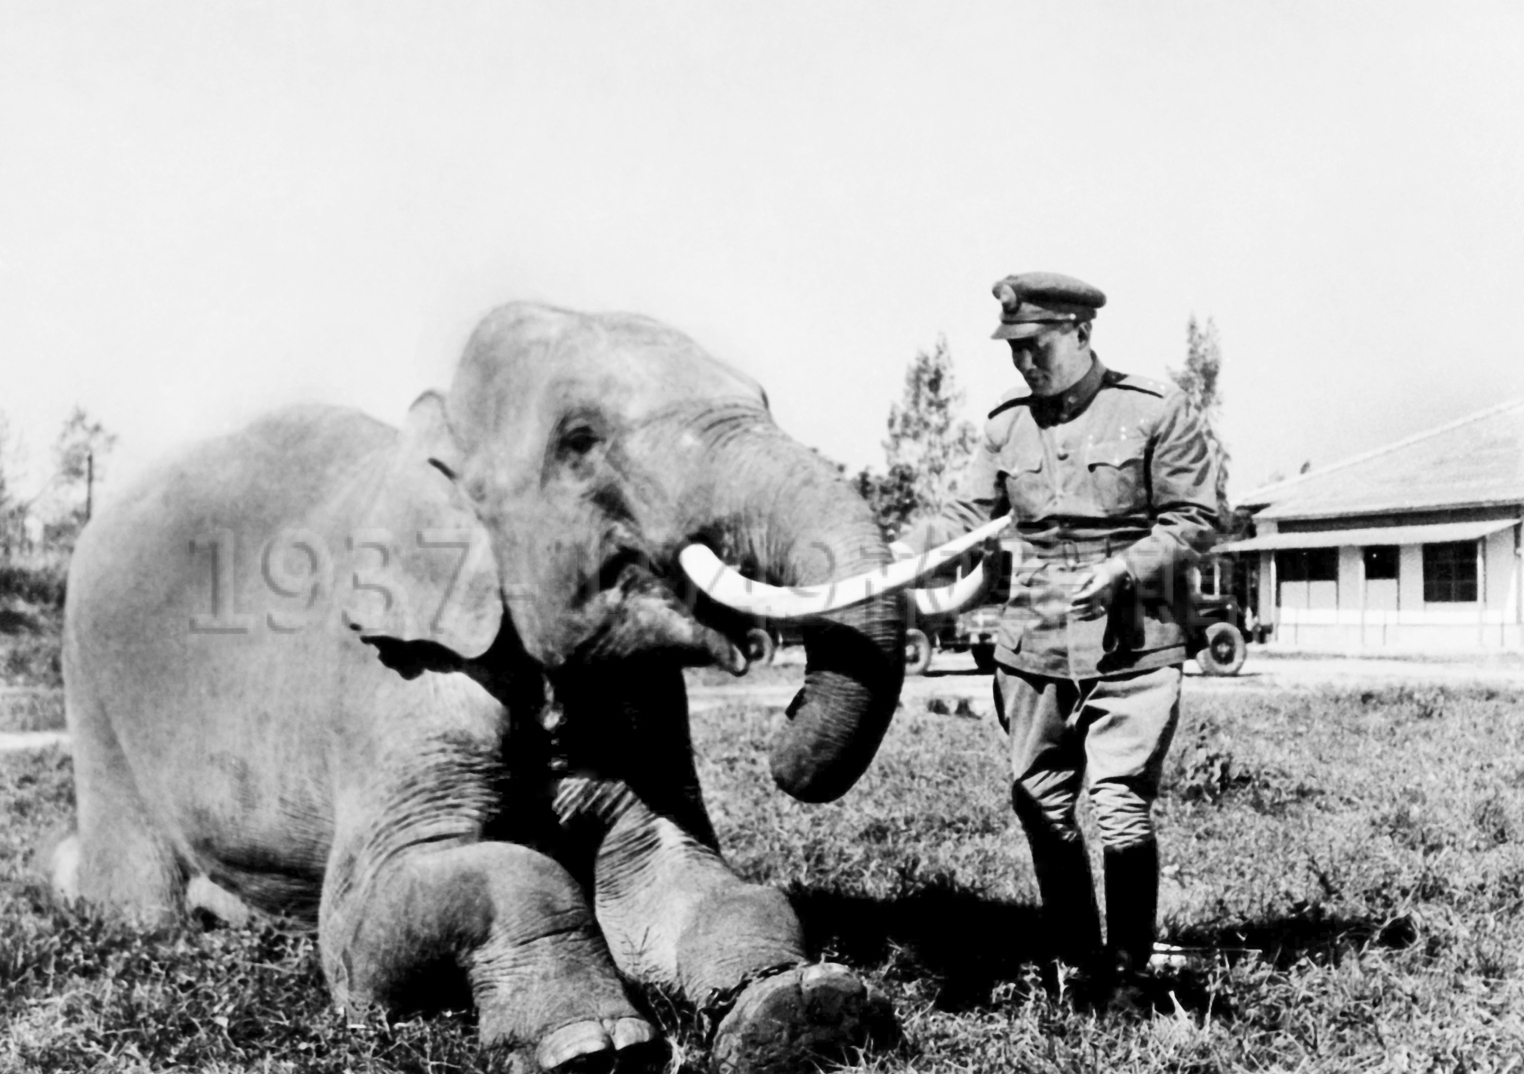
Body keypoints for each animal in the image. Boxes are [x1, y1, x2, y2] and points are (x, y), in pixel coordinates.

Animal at [47, 301, 975, 1072]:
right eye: (580, 439)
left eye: (764, 396)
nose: (783, 726)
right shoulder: (398, 685)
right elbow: (381, 919)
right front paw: (593, 1049)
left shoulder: (640, 702)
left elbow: (677, 867)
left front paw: (806, 1013)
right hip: (91, 690)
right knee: (136, 897)